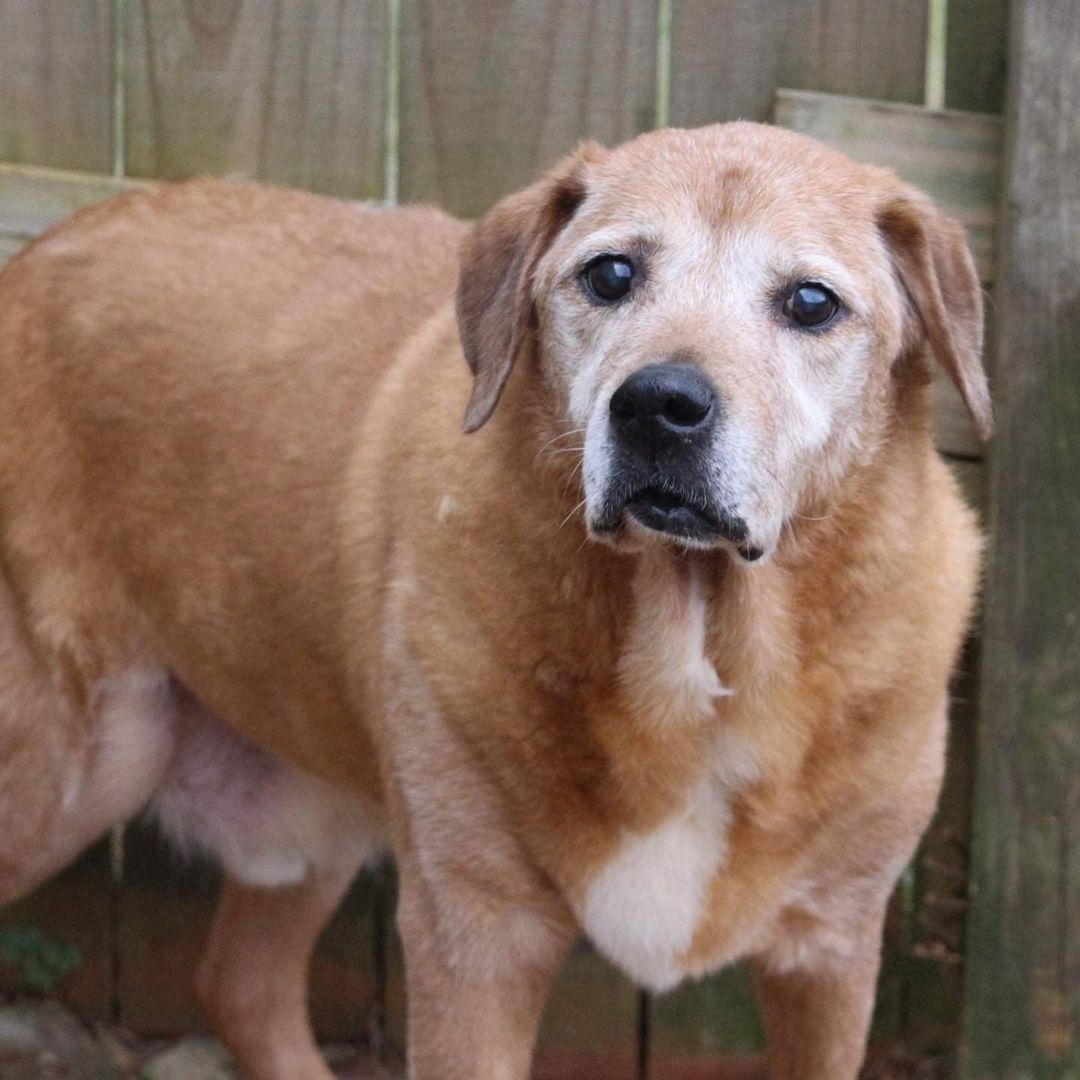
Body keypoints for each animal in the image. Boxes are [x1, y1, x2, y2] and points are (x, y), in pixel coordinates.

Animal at [0, 122, 989, 1075]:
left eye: (812, 302)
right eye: (611, 274)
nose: (657, 405)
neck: (696, 647)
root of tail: (38, 251)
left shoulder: (829, 949)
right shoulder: (473, 941)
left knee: (239, 985)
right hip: (74, 768)